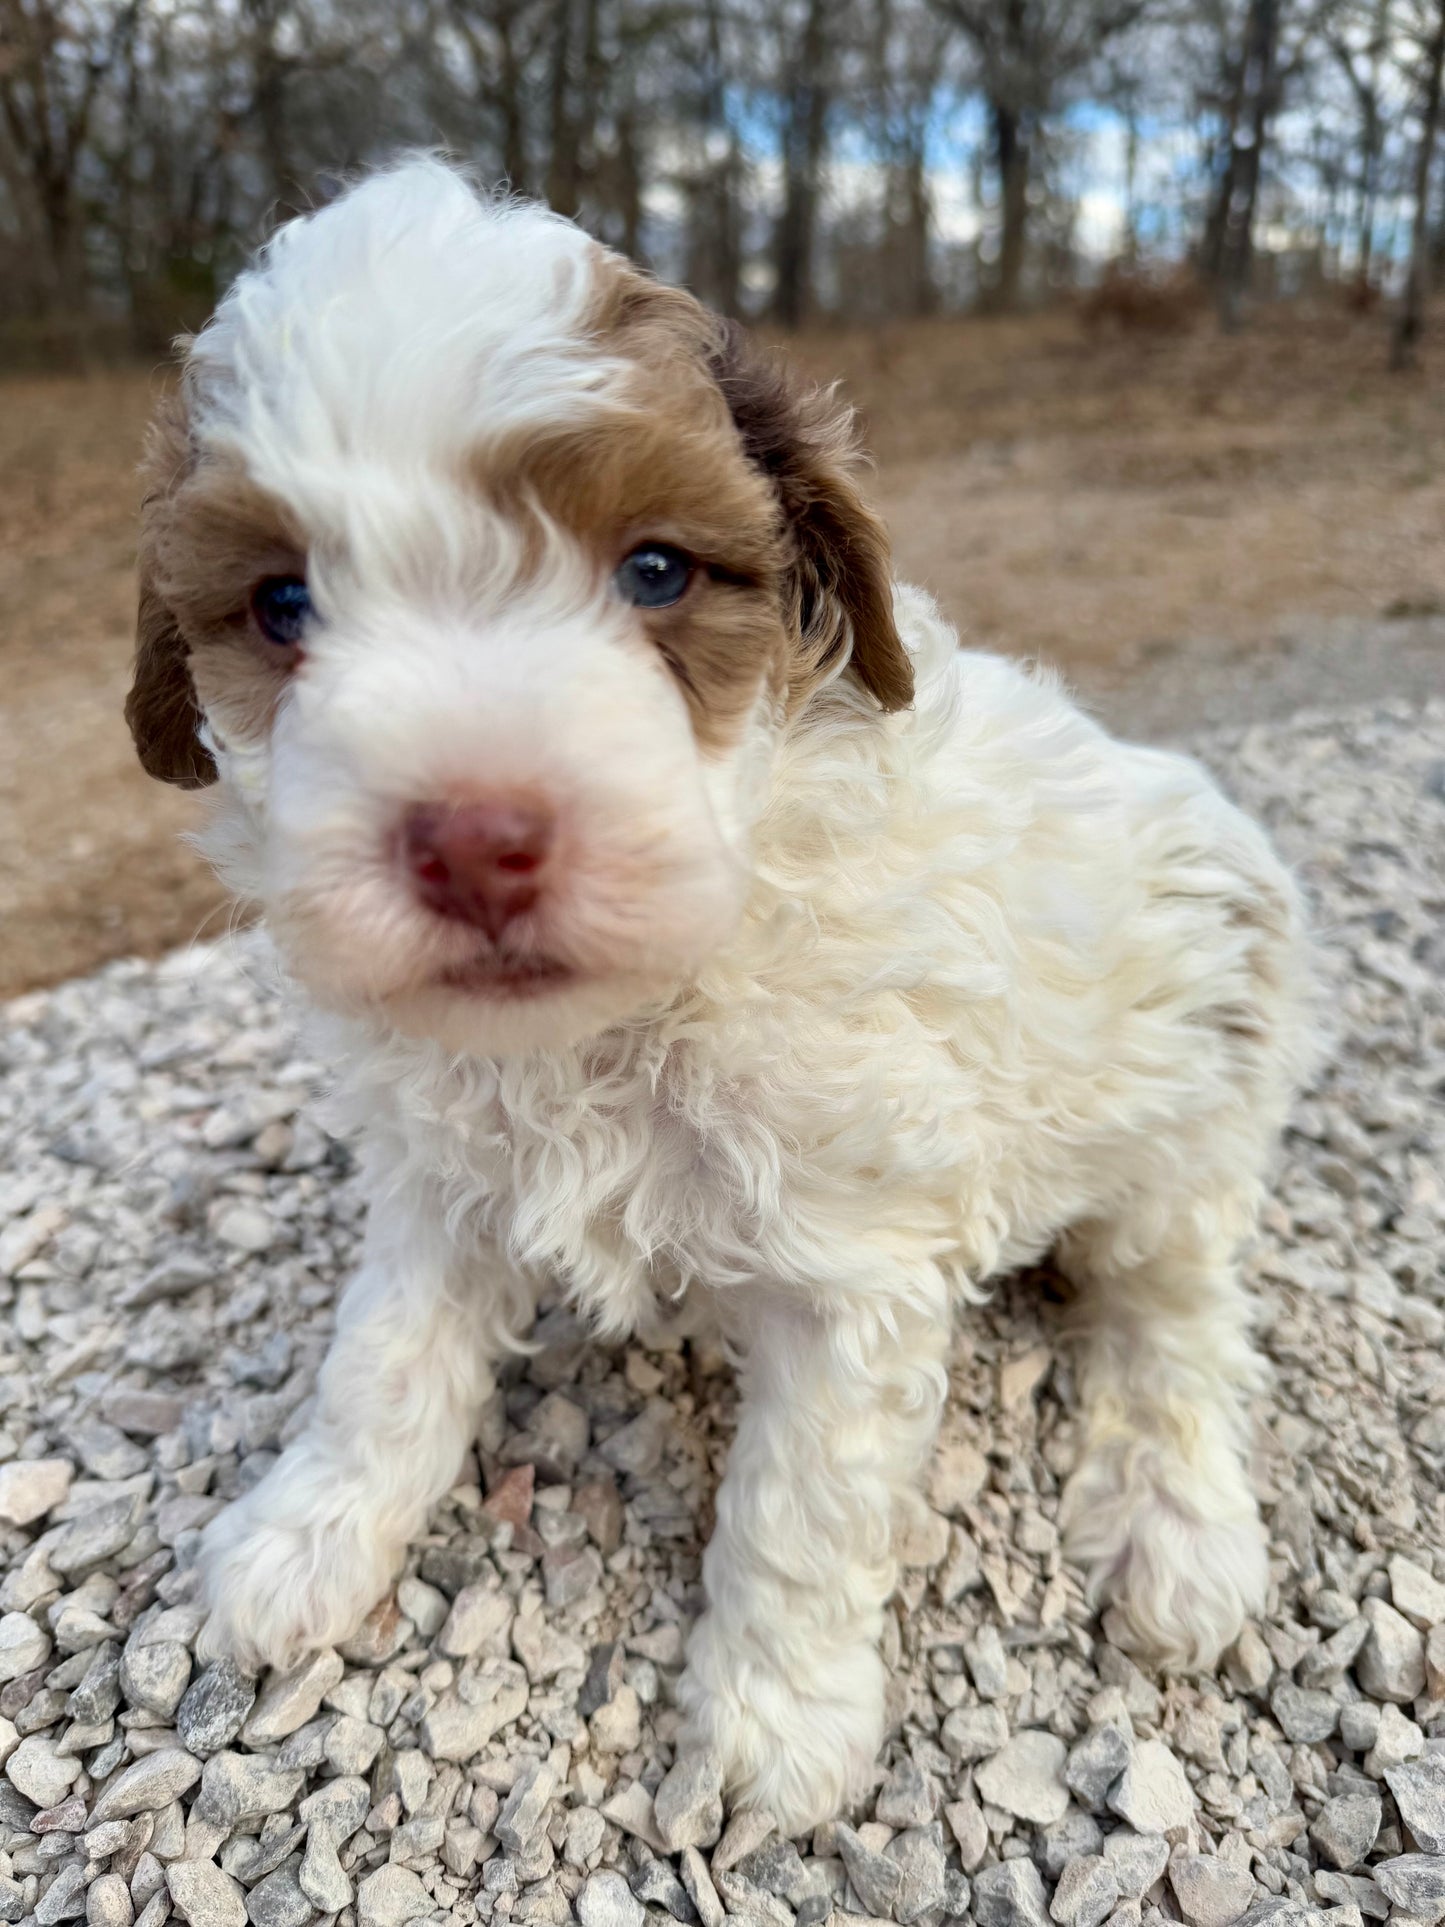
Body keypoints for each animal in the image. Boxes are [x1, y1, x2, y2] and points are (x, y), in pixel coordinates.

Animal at [130, 158, 1317, 1826]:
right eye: (283, 603)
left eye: (654, 570)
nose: (474, 840)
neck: (628, 1010)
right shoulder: (438, 1177)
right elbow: (381, 1358)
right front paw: (305, 1534)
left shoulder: (854, 1266)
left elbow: (800, 1508)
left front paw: (774, 1725)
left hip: (1188, 1113)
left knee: (1176, 1317)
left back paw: (1177, 1528)